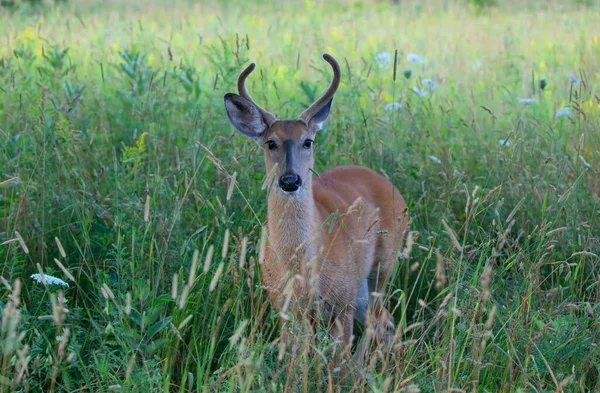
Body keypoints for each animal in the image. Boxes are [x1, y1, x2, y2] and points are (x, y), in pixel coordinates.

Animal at [223, 52, 410, 352]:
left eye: (308, 141)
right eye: (270, 143)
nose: (290, 180)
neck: (302, 268)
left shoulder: (342, 302)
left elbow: (338, 356)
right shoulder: (284, 305)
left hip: (381, 267)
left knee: (379, 320)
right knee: (384, 320)